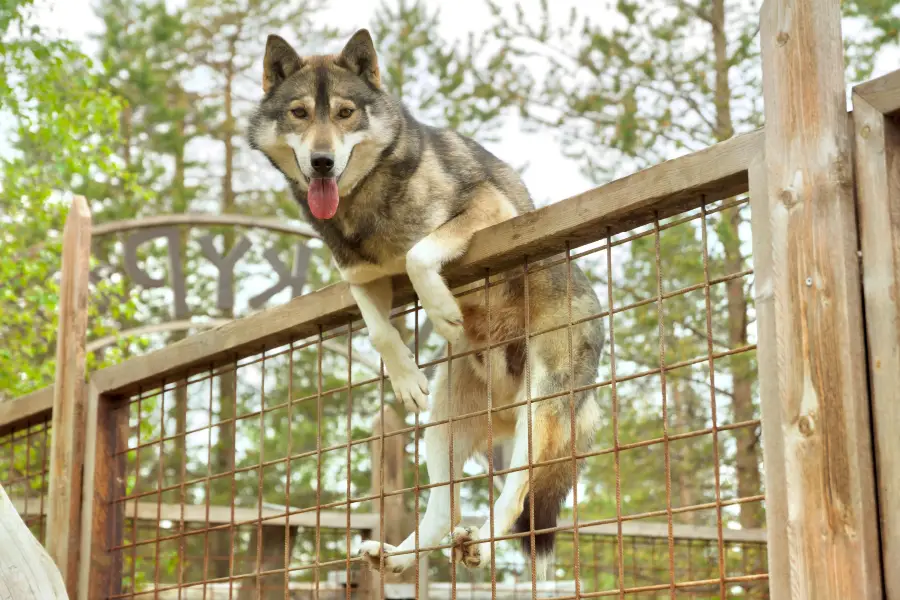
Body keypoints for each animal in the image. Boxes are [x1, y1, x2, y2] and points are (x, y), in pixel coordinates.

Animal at [248, 29, 604, 580]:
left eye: (346, 113)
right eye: (300, 113)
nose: (322, 162)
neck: (366, 203)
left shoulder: (488, 210)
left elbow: (419, 255)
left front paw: (441, 309)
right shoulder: (362, 278)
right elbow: (378, 330)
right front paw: (406, 379)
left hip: (539, 410)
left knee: (516, 492)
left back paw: (484, 544)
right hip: (442, 428)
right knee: (441, 504)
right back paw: (397, 557)